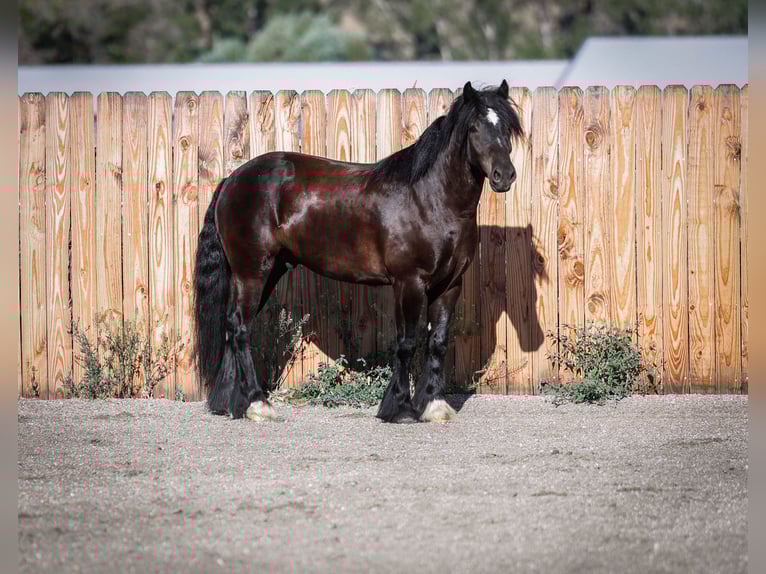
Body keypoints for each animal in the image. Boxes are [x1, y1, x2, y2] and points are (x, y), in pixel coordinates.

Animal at [193, 80, 524, 423]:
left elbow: (438, 342)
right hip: (252, 273)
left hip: (264, 273)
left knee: (232, 326)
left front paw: (433, 405)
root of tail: (232, 180)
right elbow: (407, 343)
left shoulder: (449, 285)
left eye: (507, 128)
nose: (504, 175)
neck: (430, 199)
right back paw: (258, 403)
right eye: (474, 128)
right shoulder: (409, 282)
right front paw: (399, 408)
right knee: (241, 328)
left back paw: (229, 403)